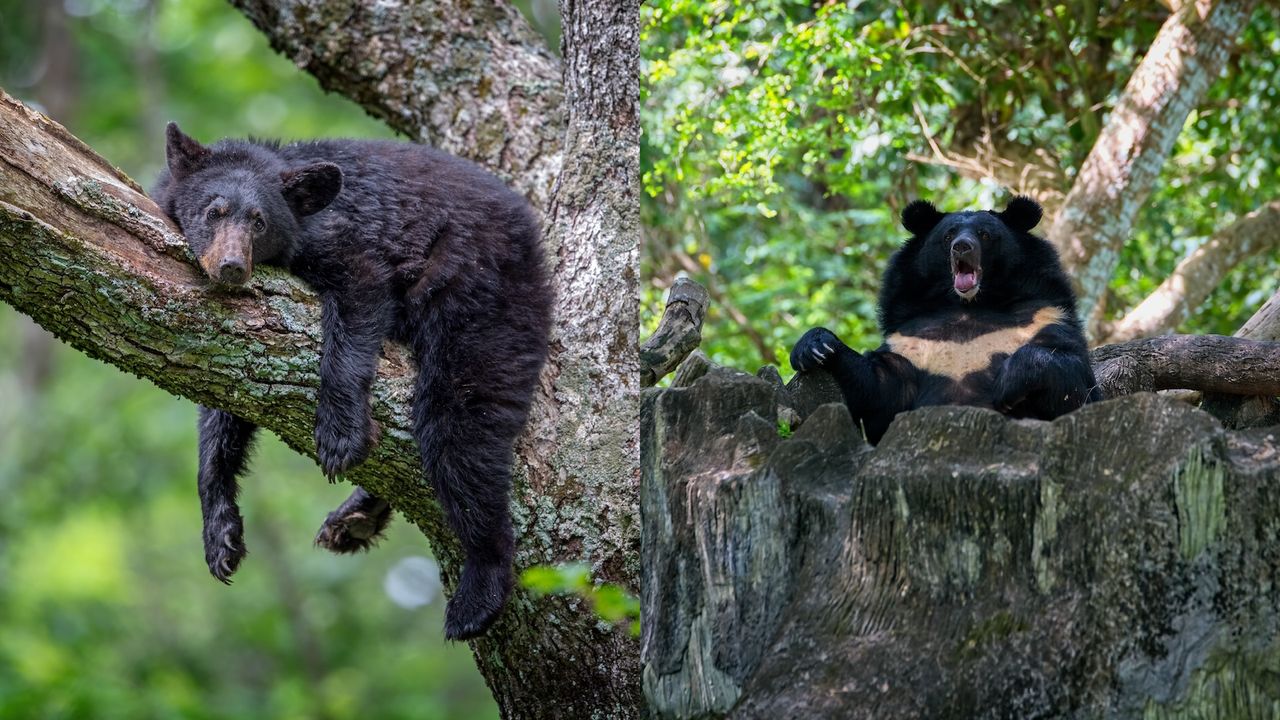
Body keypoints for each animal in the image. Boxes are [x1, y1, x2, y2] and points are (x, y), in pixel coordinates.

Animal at [152, 123, 553, 640]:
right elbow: (226, 400)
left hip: (482, 290)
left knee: (460, 429)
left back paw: (477, 593)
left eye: (260, 222)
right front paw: (220, 534)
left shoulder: (338, 238)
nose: (232, 267)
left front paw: (340, 435)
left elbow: (361, 294)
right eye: (213, 210)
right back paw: (357, 517)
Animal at [790, 196, 1101, 444]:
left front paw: (1008, 384)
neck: (969, 305)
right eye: (948, 236)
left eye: (985, 235)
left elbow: (1075, 387)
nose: (962, 247)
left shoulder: (1043, 315)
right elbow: (880, 392)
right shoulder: (910, 340)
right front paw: (816, 347)